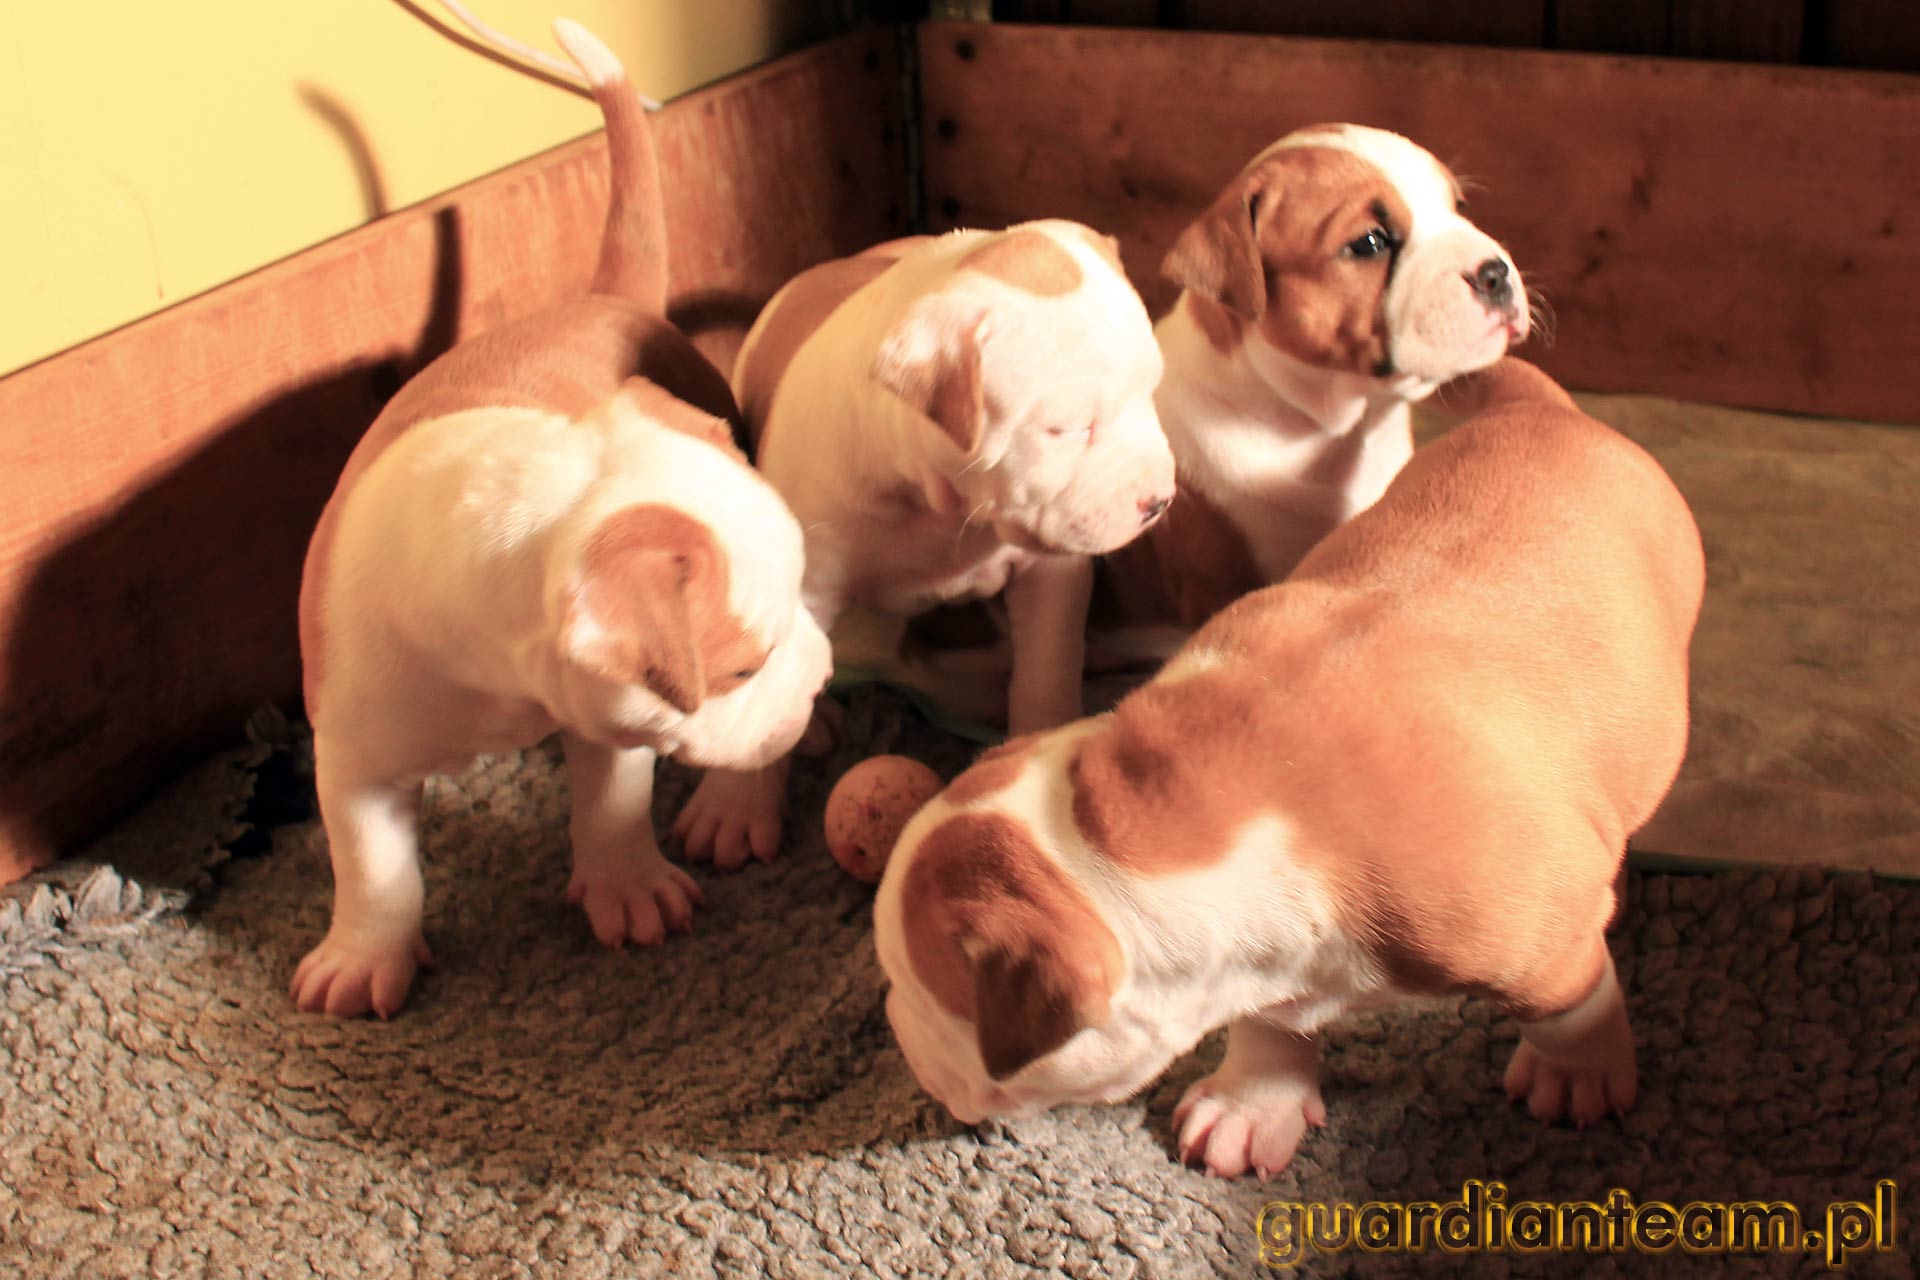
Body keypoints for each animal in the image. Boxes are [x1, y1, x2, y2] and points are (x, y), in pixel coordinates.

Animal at [291, 20, 831, 1018]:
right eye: (743, 669)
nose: (819, 681)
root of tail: (604, 298)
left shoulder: (613, 715)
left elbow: (612, 803)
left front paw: (630, 891)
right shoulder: (351, 747)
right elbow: (373, 866)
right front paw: (361, 958)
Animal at [671, 223, 1177, 869]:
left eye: (1153, 392)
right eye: (1064, 429)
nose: (1158, 499)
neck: (940, 506)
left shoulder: (1049, 574)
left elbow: (1046, 666)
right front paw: (734, 807)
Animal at [874, 357, 1704, 1178]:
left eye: (917, 992)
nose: (891, 1022)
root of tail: (1543, 407)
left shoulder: (1537, 934)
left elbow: (1571, 1005)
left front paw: (1577, 1075)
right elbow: (1272, 1019)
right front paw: (1254, 1102)